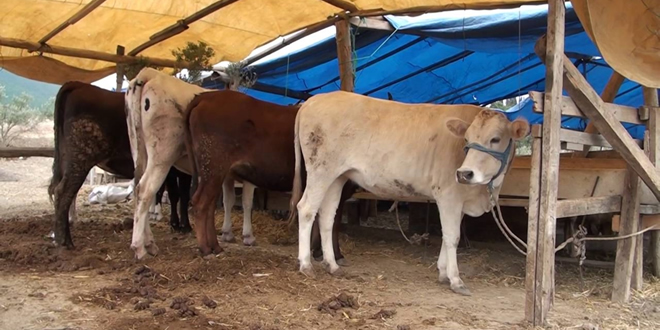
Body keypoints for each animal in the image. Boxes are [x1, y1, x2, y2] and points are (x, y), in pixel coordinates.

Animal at [47, 81, 192, 249]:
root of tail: (79, 85)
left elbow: (175, 195)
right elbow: (179, 195)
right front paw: (183, 226)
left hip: (66, 158)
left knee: (62, 191)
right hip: (80, 157)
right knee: (63, 192)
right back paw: (65, 241)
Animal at [180, 89, 356, 262]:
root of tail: (207, 96)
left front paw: (318, 251)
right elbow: (333, 221)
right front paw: (335, 254)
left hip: (213, 172)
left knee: (209, 206)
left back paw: (216, 247)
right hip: (213, 166)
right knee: (200, 204)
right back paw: (205, 249)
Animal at [290, 91, 532, 296]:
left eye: (496, 139)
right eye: (466, 139)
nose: (464, 173)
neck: (480, 194)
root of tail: (314, 100)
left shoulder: (460, 202)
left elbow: (446, 234)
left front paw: (443, 272)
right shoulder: (449, 195)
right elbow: (452, 237)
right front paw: (455, 280)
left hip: (337, 176)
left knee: (327, 216)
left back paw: (332, 265)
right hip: (321, 169)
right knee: (306, 208)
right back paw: (306, 264)